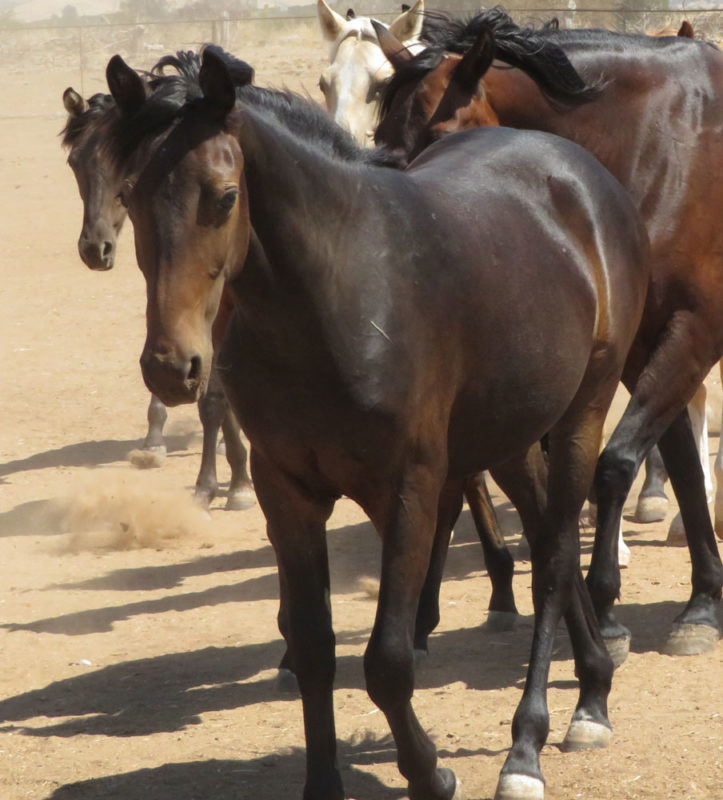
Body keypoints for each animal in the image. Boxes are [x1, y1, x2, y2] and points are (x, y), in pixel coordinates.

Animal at [99, 45, 648, 800]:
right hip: (507, 436)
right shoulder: (286, 492)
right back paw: (593, 685)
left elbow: (387, 660)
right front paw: (324, 781)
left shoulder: (409, 488)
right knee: (544, 539)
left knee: (555, 561)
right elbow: (313, 647)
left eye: (225, 196)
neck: (339, 295)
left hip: (580, 415)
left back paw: (530, 743)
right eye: (130, 196)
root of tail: (578, 172)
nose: (171, 366)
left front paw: (430, 773)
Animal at [374, 7, 723, 664]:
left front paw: (606, 605)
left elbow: (615, 464)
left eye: (441, 133)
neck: (669, 144)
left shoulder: (694, 333)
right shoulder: (643, 348)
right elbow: (683, 468)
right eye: (382, 137)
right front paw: (703, 604)